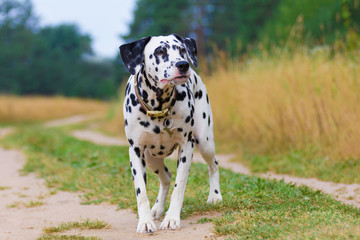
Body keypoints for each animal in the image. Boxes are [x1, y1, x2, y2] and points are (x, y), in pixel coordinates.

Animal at [120, 33, 222, 232]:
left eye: (182, 49)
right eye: (160, 51)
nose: (183, 64)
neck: (159, 107)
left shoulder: (187, 147)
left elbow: (179, 187)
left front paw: (172, 218)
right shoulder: (135, 151)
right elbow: (141, 192)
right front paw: (145, 221)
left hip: (204, 141)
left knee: (213, 164)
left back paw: (215, 196)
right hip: (150, 157)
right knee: (166, 177)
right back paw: (157, 208)